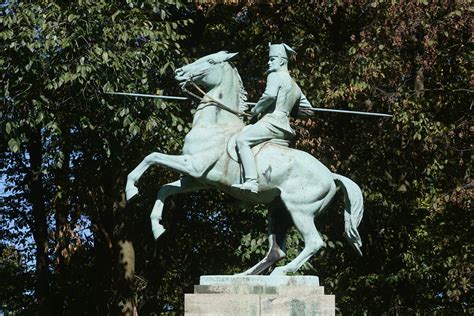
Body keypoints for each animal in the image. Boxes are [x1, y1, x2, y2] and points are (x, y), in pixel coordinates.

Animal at [125, 50, 362, 276]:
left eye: (210, 61)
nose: (179, 72)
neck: (215, 125)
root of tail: (331, 176)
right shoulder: (196, 180)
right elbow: (164, 189)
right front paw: (157, 228)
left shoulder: (193, 165)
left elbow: (151, 156)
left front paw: (131, 190)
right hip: (279, 211)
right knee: (276, 251)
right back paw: (243, 275)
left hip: (299, 211)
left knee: (313, 242)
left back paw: (280, 272)